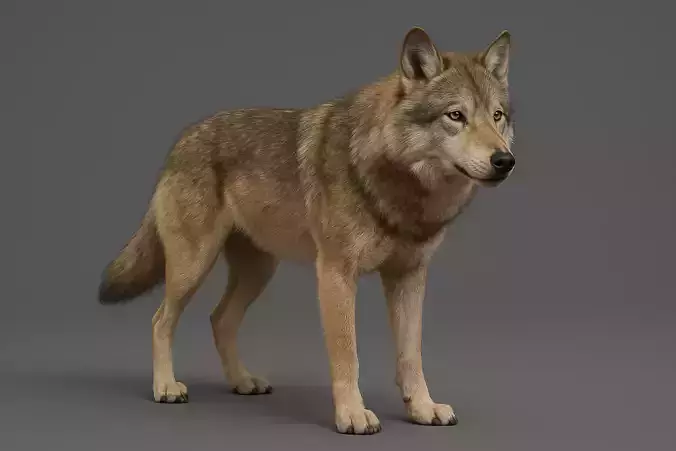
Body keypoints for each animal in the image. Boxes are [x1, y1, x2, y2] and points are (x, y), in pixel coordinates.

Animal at [98, 27, 516, 435]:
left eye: (497, 116)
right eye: (456, 115)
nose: (505, 160)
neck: (400, 187)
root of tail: (180, 141)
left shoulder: (409, 278)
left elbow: (411, 355)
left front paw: (423, 408)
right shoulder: (335, 274)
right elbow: (347, 355)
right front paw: (352, 415)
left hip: (258, 272)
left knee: (220, 320)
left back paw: (242, 381)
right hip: (193, 267)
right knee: (161, 321)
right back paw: (166, 387)